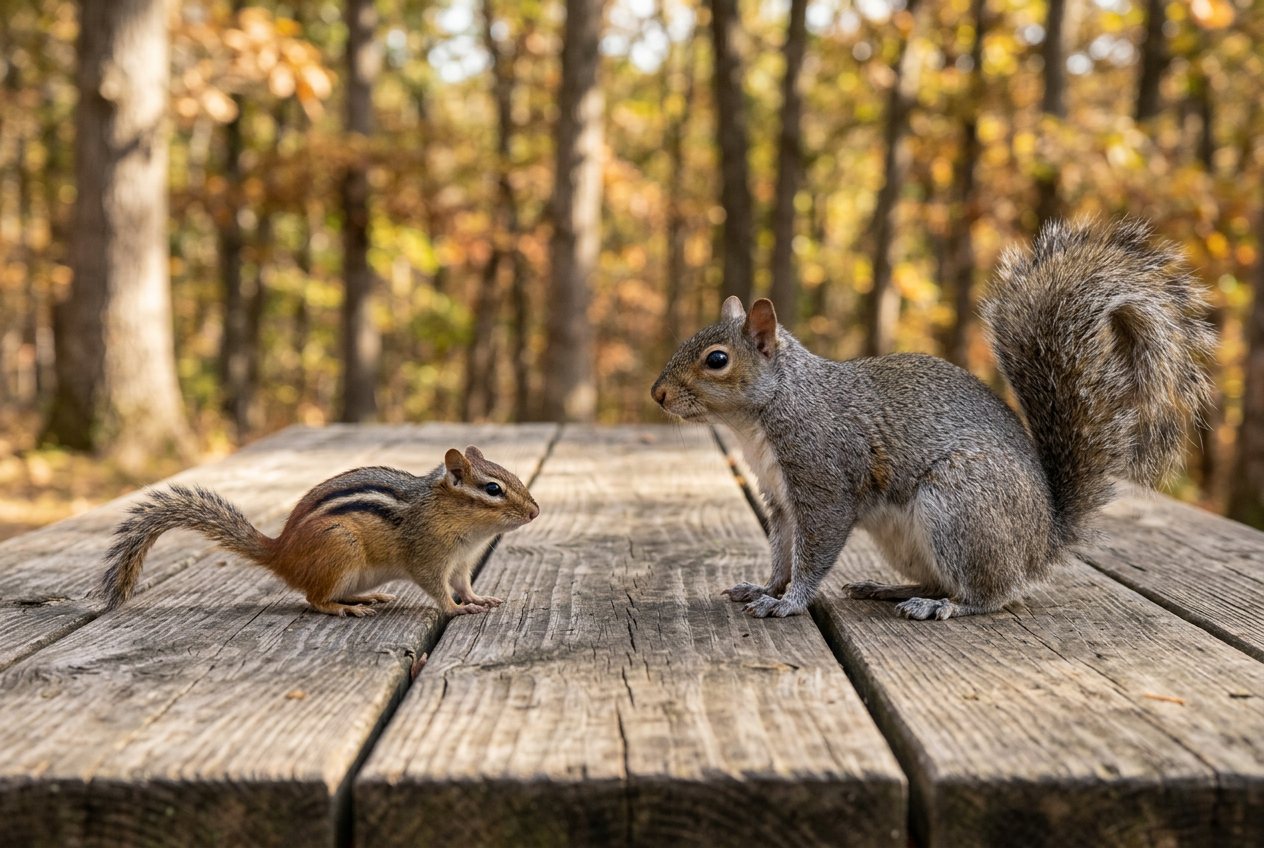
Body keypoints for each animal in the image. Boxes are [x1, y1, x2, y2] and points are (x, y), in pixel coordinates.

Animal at [99, 446, 539, 618]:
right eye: (493, 489)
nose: (535, 511)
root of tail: (280, 552)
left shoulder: (462, 562)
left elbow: (464, 584)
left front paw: (479, 599)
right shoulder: (428, 557)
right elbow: (438, 589)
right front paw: (456, 609)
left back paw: (367, 596)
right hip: (339, 547)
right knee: (314, 599)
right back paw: (347, 607)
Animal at [652, 219, 1214, 620]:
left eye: (717, 359)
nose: (657, 394)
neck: (766, 416)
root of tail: (1043, 540)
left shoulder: (825, 480)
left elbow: (813, 551)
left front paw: (789, 601)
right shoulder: (780, 497)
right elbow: (780, 549)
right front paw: (766, 586)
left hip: (960, 507)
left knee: (993, 593)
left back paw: (942, 605)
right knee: (943, 577)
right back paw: (889, 587)